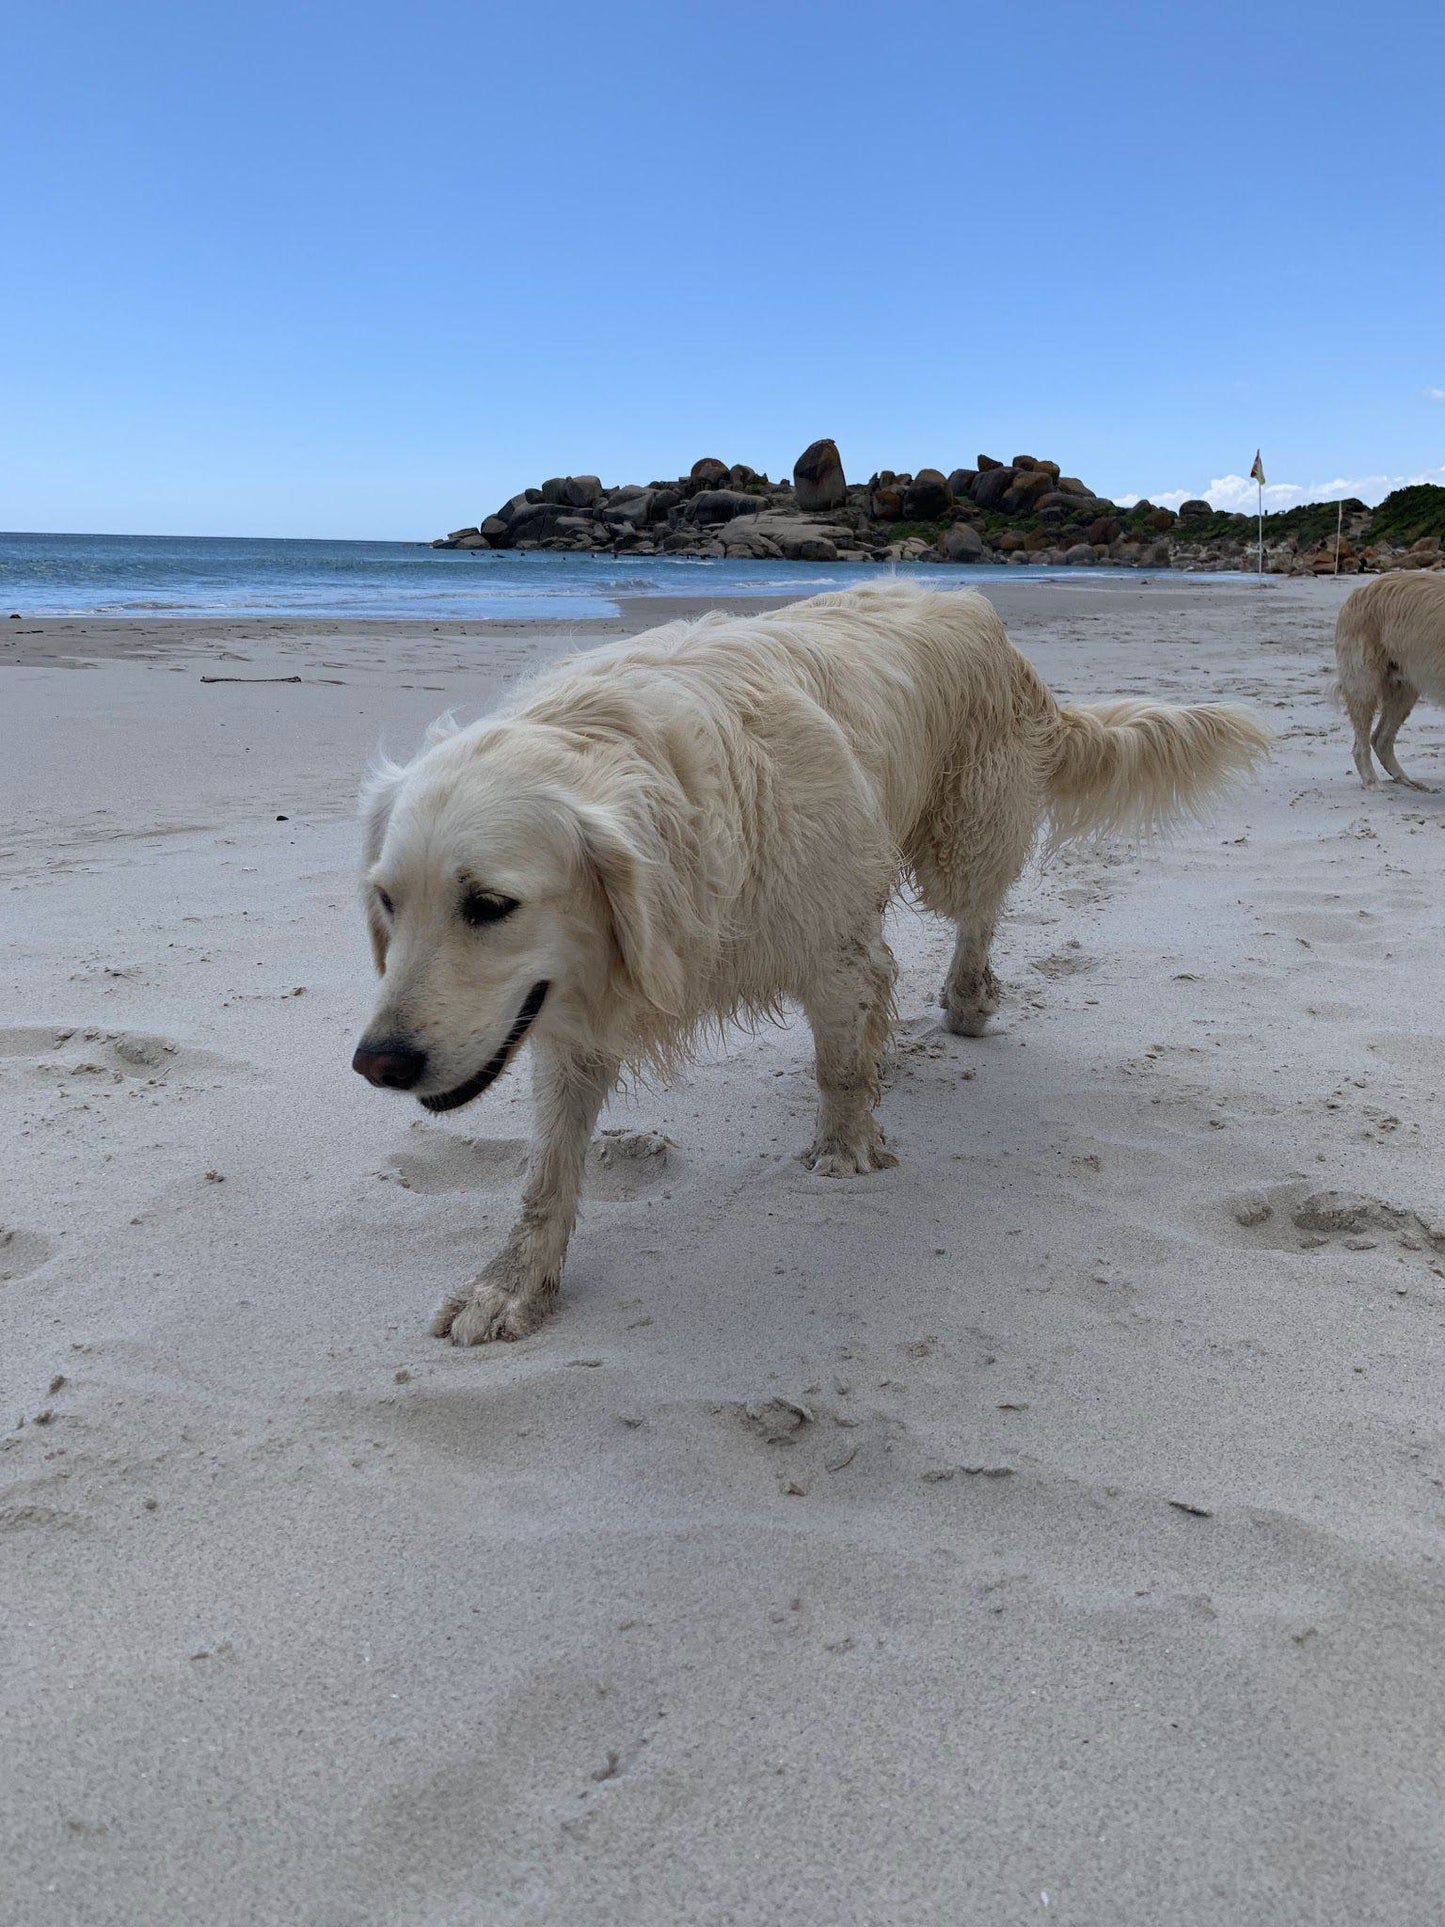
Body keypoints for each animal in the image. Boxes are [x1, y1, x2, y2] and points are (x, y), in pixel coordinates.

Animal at [1333, 566, 1445, 786]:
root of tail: (1360, 590)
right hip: (1364, 684)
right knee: (1361, 744)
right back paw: (1372, 782)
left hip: (1404, 691)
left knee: (1380, 738)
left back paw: (1405, 780)